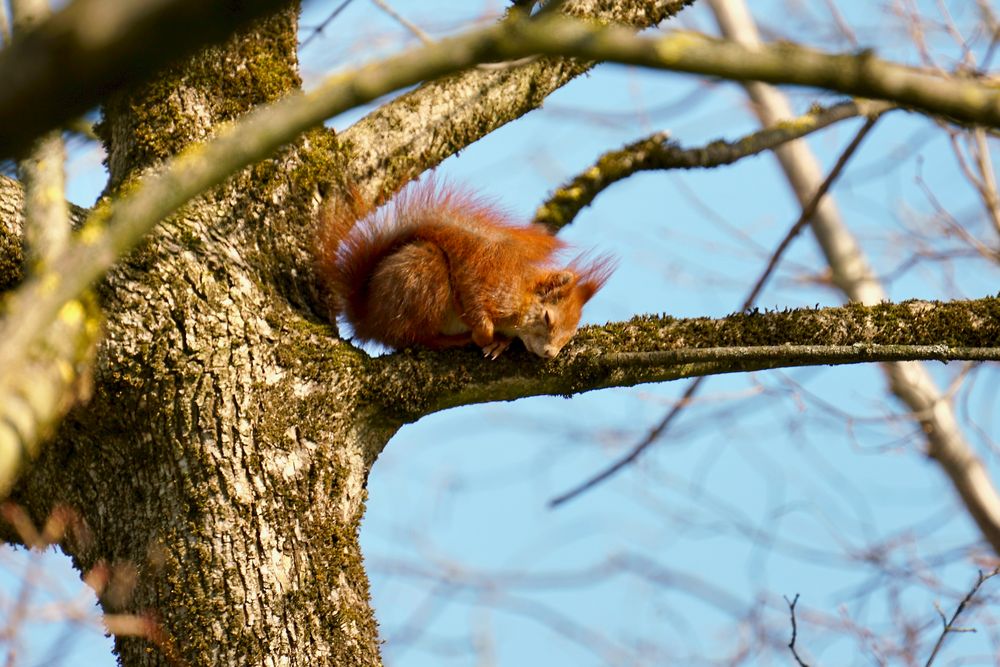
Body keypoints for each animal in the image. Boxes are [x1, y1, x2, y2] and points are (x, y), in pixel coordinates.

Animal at [314, 181, 608, 360]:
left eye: (568, 338)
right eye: (547, 318)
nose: (550, 353)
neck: (522, 294)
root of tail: (367, 318)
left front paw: (501, 342)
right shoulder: (482, 284)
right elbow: (478, 312)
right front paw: (486, 336)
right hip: (423, 278)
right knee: (412, 338)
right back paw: (454, 340)